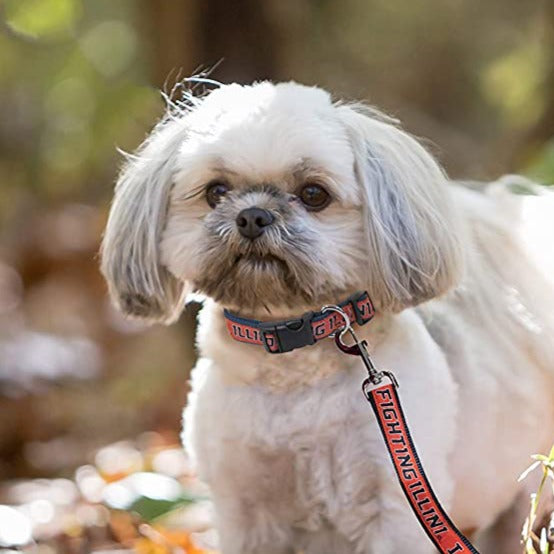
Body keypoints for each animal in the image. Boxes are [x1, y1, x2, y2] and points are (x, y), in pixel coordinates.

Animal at [101, 80, 552, 548]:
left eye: (314, 194)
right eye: (216, 192)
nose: (252, 216)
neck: (291, 363)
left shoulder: (397, 502)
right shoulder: (245, 509)